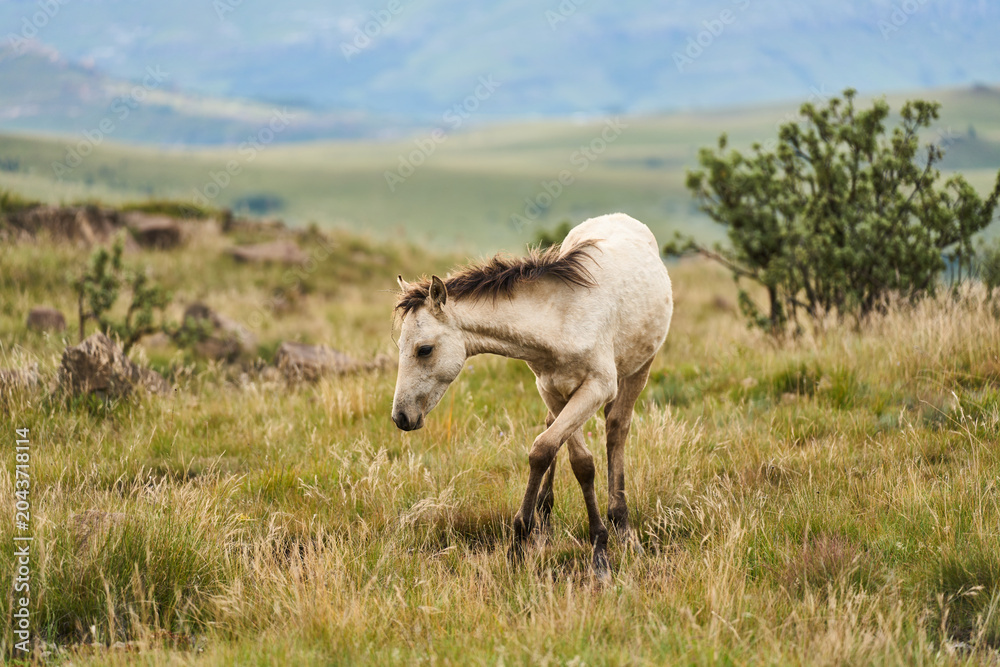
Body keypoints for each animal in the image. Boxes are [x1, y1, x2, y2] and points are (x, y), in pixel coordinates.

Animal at [391, 213, 673, 575]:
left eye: (424, 349)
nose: (401, 417)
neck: (561, 317)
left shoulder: (597, 388)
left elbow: (550, 451)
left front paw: (599, 553)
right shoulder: (551, 388)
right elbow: (569, 458)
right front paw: (523, 542)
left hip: (639, 370)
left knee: (616, 430)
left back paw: (624, 529)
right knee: (555, 428)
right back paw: (547, 523)